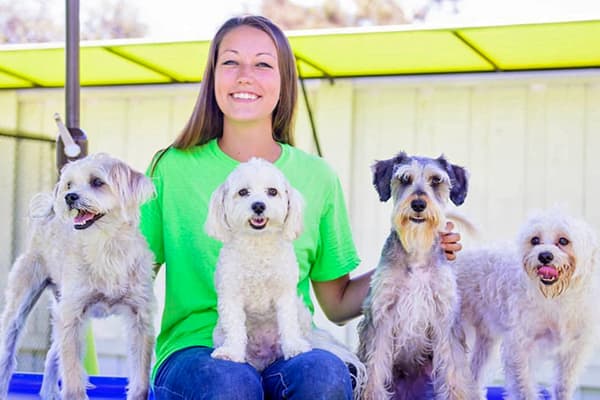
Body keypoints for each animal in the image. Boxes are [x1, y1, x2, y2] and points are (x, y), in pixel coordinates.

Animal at [0, 153, 157, 400]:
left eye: (97, 182)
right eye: (69, 184)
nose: (69, 197)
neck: (106, 247)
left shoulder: (140, 318)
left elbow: (140, 381)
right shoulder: (72, 318)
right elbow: (73, 377)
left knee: (52, 354)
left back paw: (49, 392)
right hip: (23, 305)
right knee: (8, 354)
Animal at [205, 156, 366, 394]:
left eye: (272, 192)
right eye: (243, 192)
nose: (259, 205)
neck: (258, 244)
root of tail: (264, 362)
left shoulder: (284, 294)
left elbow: (288, 323)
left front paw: (294, 347)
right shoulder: (231, 294)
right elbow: (235, 326)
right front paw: (232, 352)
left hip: (301, 313)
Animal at [454, 208, 600, 398]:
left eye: (563, 240)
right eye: (535, 240)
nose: (544, 255)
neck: (555, 299)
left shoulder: (573, 351)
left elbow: (563, 386)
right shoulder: (519, 347)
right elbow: (524, 388)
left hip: (486, 341)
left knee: (474, 375)